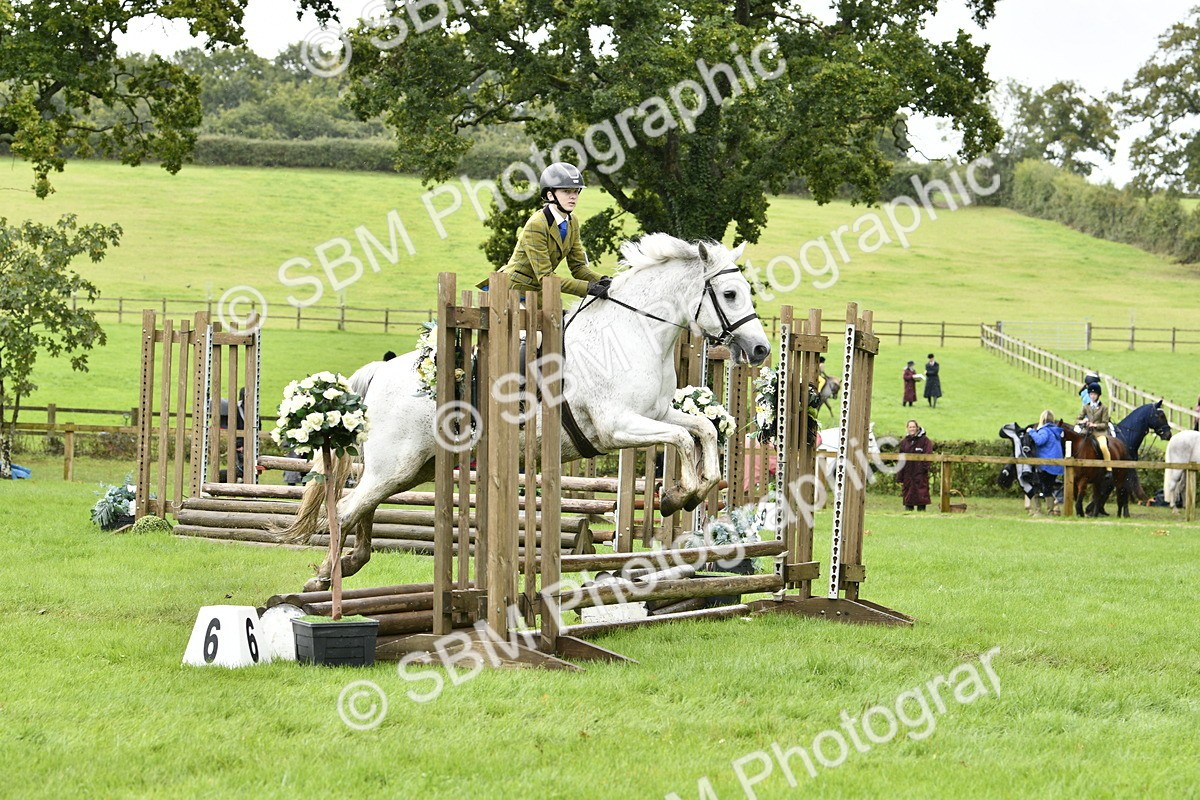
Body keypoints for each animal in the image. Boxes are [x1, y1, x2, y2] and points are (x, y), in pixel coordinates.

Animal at [277, 234, 772, 591]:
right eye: (730, 293)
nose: (761, 349)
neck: (632, 331)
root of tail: (381, 372)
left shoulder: (657, 413)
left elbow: (703, 429)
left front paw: (691, 491)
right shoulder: (618, 427)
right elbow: (683, 440)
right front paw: (677, 496)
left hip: (415, 468)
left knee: (364, 503)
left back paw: (350, 563)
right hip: (396, 462)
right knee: (347, 506)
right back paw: (326, 575)